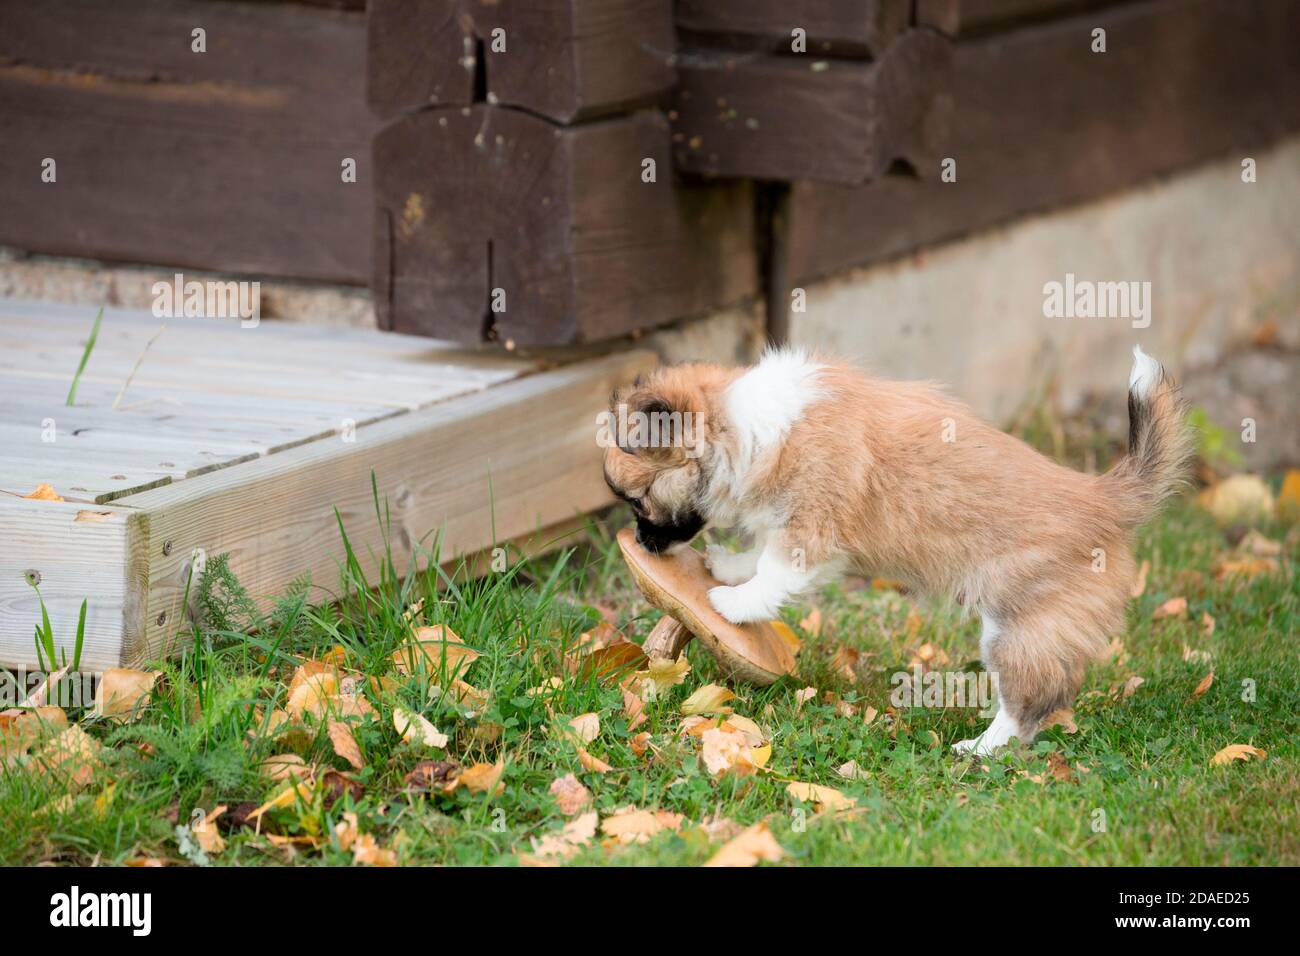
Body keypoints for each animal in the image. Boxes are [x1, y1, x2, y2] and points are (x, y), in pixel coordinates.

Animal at [603, 345, 1190, 754]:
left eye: (637, 500)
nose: (641, 544)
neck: (743, 427)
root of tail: (1103, 498)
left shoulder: (810, 529)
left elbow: (774, 570)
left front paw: (734, 603)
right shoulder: (796, 526)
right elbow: (762, 550)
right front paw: (728, 566)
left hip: (1018, 629)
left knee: (1027, 704)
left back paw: (980, 749)